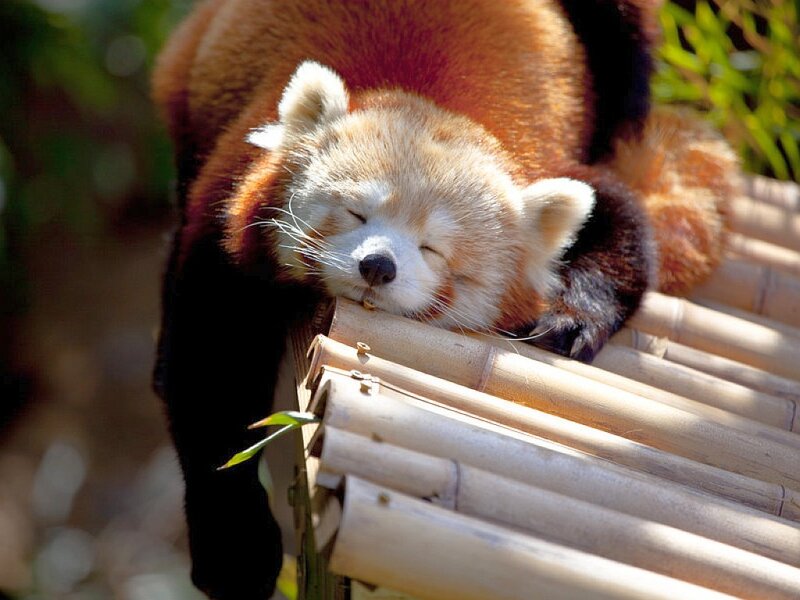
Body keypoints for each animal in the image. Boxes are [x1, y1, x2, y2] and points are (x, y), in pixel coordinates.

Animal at [151, 1, 739, 597]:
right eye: (356, 213)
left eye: (431, 248)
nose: (377, 266)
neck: (437, 102)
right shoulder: (229, 202)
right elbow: (211, 371)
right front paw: (235, 548)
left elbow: (620, 221)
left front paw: (572, 318)